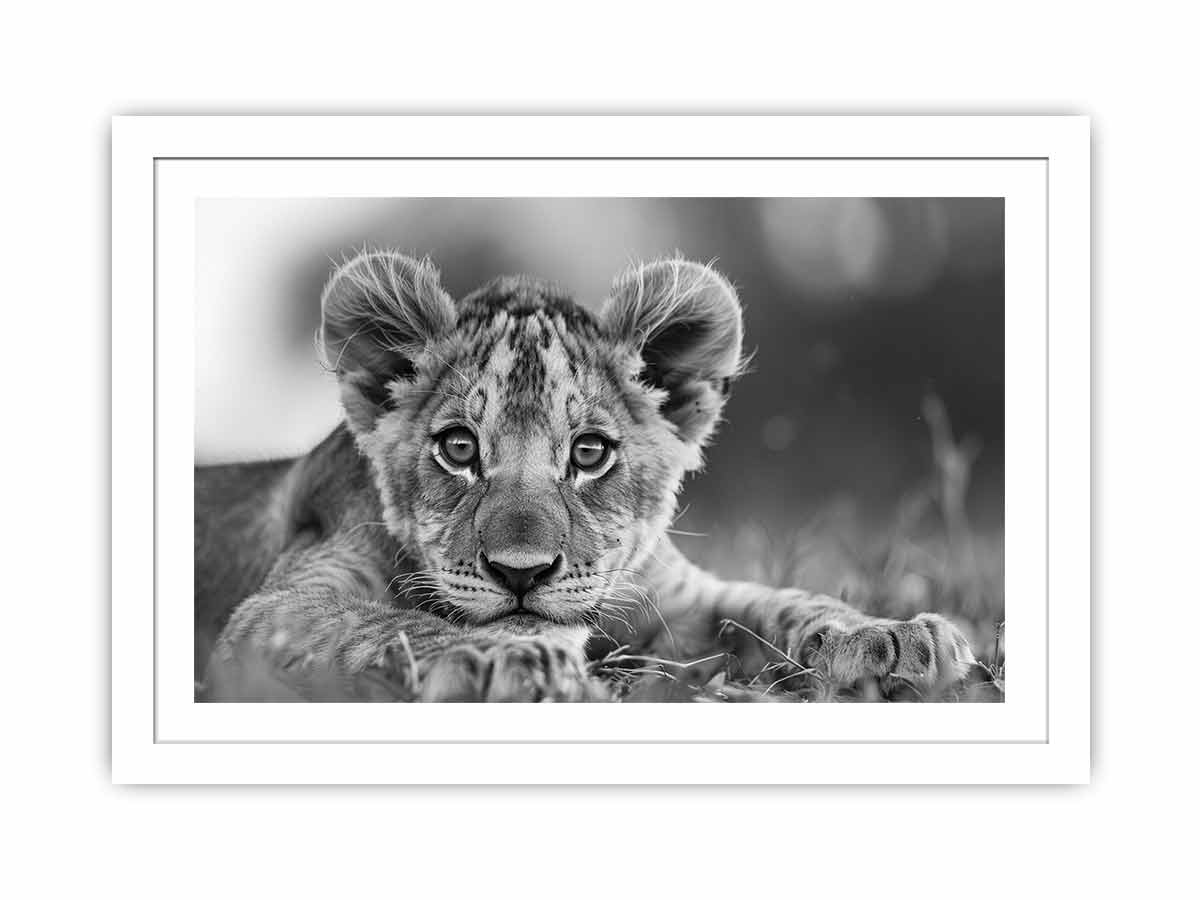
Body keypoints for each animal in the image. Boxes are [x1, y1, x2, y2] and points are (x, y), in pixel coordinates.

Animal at [195, 251, 975, 701]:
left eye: (590, 453)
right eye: (459, 448)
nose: (521, 572)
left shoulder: (680, 595)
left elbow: (773, 602)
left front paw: (890, 637)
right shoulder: (276, 615)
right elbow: (393, 622)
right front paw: (507, 658)